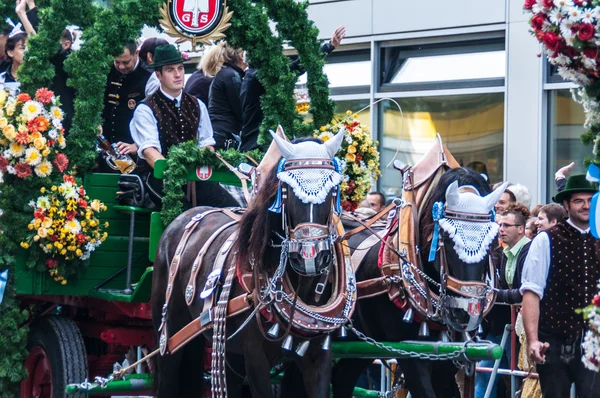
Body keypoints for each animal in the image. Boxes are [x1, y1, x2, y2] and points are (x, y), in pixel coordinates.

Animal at [151, 128, 356, 398]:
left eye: (333, 189)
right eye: (287, 189)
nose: (310, 255)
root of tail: (182, 217)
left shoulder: (318, 357)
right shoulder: (255, 358)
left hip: (227, 349)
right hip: (169, 334)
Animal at [282, 166, 506, 398]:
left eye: (492, 240)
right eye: (445, 236)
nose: (468, 311)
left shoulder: (447, 360)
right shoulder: (410, 354)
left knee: (342, 377)